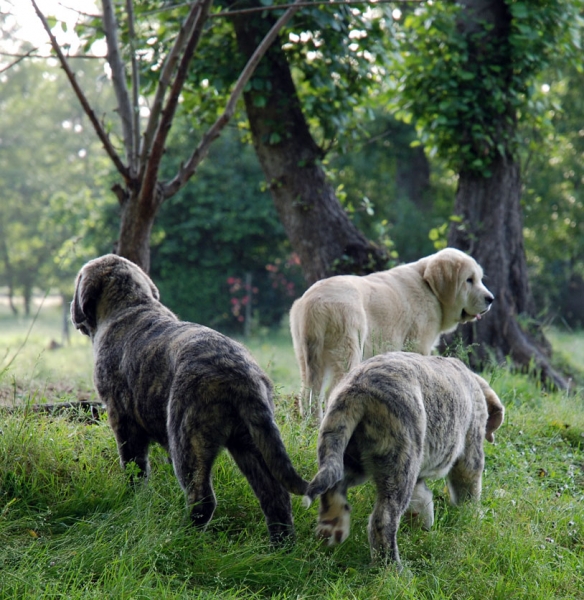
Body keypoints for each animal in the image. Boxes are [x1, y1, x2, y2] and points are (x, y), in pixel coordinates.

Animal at [71, 255, 308, 548]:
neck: (131, 304)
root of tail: (240, 373)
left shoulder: (123, 420)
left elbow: (135, 467)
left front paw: (134, 499)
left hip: (187, 439)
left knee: (202, 498)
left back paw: (183, 538)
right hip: (252, 443)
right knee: (275, 495)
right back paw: (280, 546)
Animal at [290, 247, 496, 418]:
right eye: (469, 280)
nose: (491, 299)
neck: (429, 288)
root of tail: (314, 303)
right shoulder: (418, 344)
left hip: (307, 354)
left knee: (309, 394)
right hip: (346, 343)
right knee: (333, 389)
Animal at [304, 352, 504, 568]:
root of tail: (356, 390)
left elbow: (421, 499)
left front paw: (422, 527)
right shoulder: (470, 449)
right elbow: (468, 488)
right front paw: (471, 514)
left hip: (346, 452)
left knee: (333, 488)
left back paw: (332, 529)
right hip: (401, 462)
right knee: (383, 519)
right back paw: (392, 568)